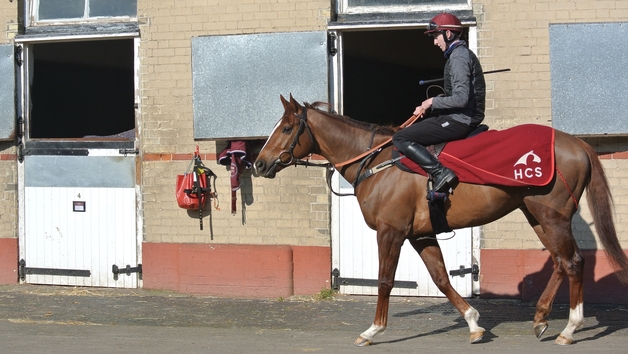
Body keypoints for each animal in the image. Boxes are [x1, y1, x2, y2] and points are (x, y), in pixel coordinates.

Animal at [254, 94, 628, 346]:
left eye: (286, 128)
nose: (259, 164)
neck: (377, 163)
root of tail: (576, 143)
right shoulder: (420, 236)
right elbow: (441, 279)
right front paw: (474, 324)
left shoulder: (390, 233)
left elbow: (385, 281)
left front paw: (373, 329)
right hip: (537, 216)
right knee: (560, 262)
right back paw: (540, 319)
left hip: (551, 216)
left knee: (574, 262)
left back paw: (570, 328)